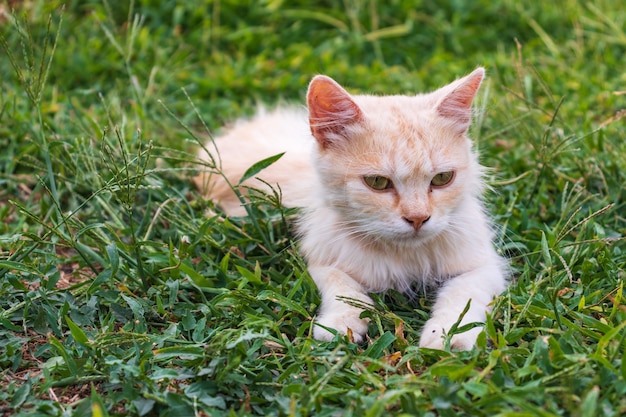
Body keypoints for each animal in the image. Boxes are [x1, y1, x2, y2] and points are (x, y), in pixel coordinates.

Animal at [195, 69, 508, 352]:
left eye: (442, 179)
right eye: (377, 183)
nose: (418, 219)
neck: (403, 255)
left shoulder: (484, 265)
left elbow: (463, 297)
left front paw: (449, 334)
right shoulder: (323, 258)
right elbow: (342, 290)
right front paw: (341, 324)